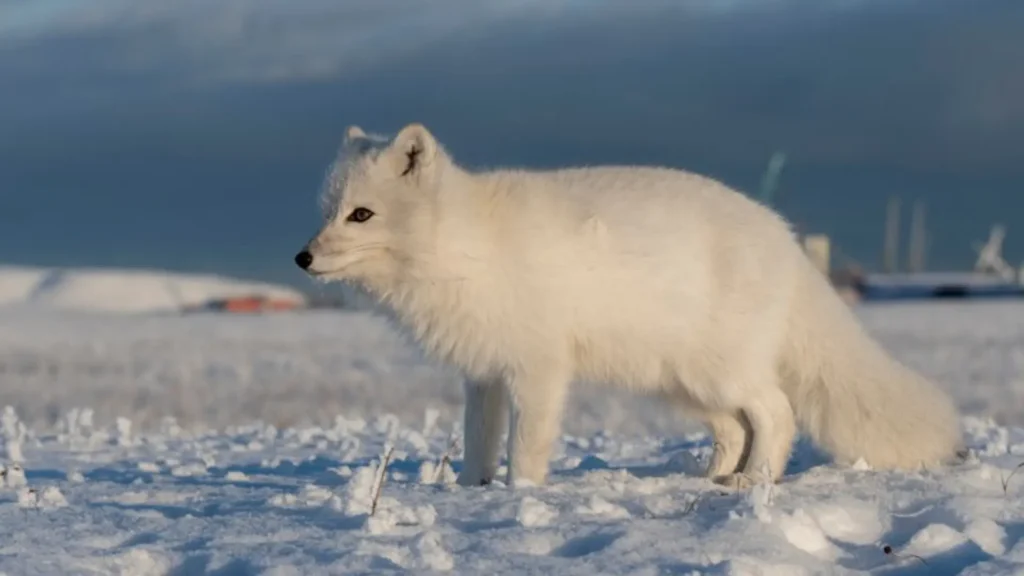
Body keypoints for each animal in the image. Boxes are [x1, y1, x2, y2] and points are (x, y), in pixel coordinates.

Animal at [294, 123, 958, 485]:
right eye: (326, 211)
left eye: (362, 215)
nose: (302, 258)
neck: (465, 246)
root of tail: (786, 239)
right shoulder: (482, 373)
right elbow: (478, 444)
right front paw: (471, 495)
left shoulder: (538, 369)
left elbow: (524, 449)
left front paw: (519, 498)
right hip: (681, 384)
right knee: (734, 429)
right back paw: (715, 479)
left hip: (720, 373)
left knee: (776, 414)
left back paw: (755, 483)